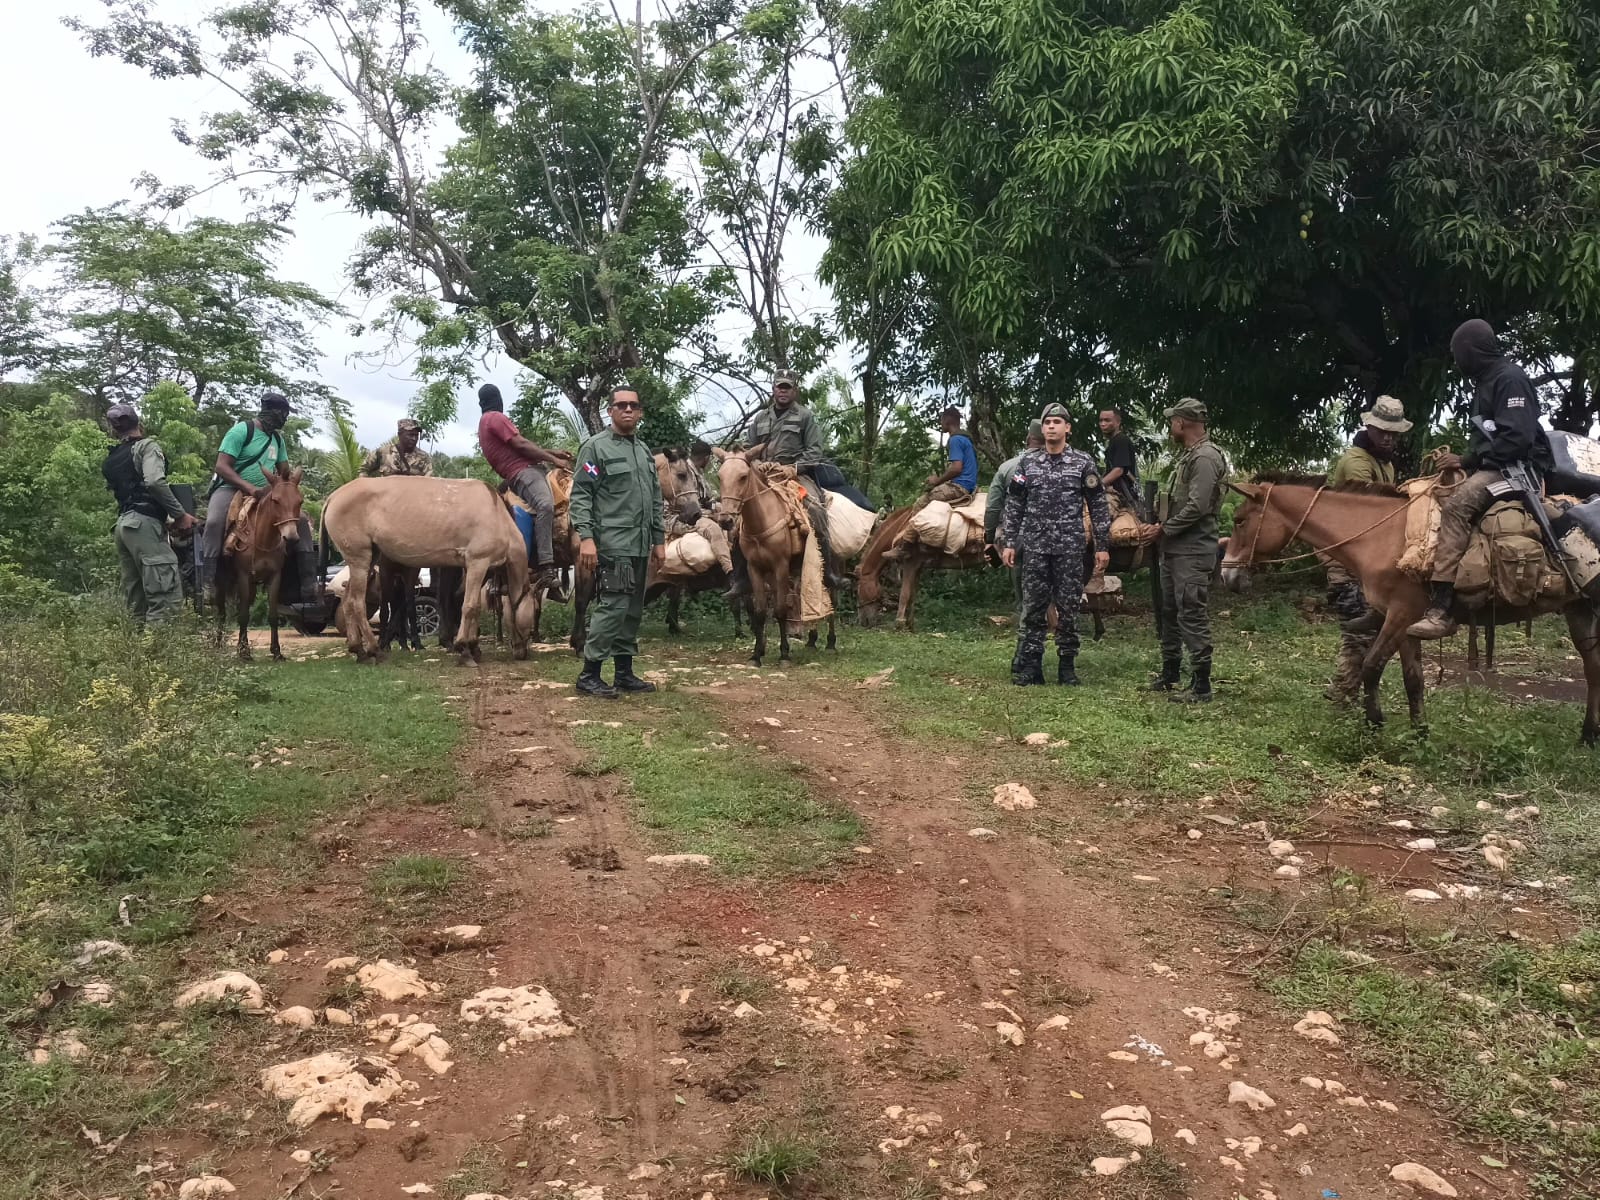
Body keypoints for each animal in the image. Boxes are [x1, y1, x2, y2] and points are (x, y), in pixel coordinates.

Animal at [212, 464, 305, 668]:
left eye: (300, 501)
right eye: (275, 500)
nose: (291, 537)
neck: (263, 539)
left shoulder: (274, 577)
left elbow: (272, 615)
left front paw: (276, 652)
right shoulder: (243, 576)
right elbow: (243, 615)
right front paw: (244, 652)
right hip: (222, 581)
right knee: (221, 612)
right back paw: (218, 643)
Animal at [1216, 476, 1593, 742]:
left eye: (1239, 520)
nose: (1227, 575)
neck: (1379, 536)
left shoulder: (1399, 616)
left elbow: (1371, 666)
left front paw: (1374, 722)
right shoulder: (1408, 624)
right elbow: (1414, 679)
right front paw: (1419, 733)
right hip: (1580, 611)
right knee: (1594, 668)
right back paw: (1589, 735)